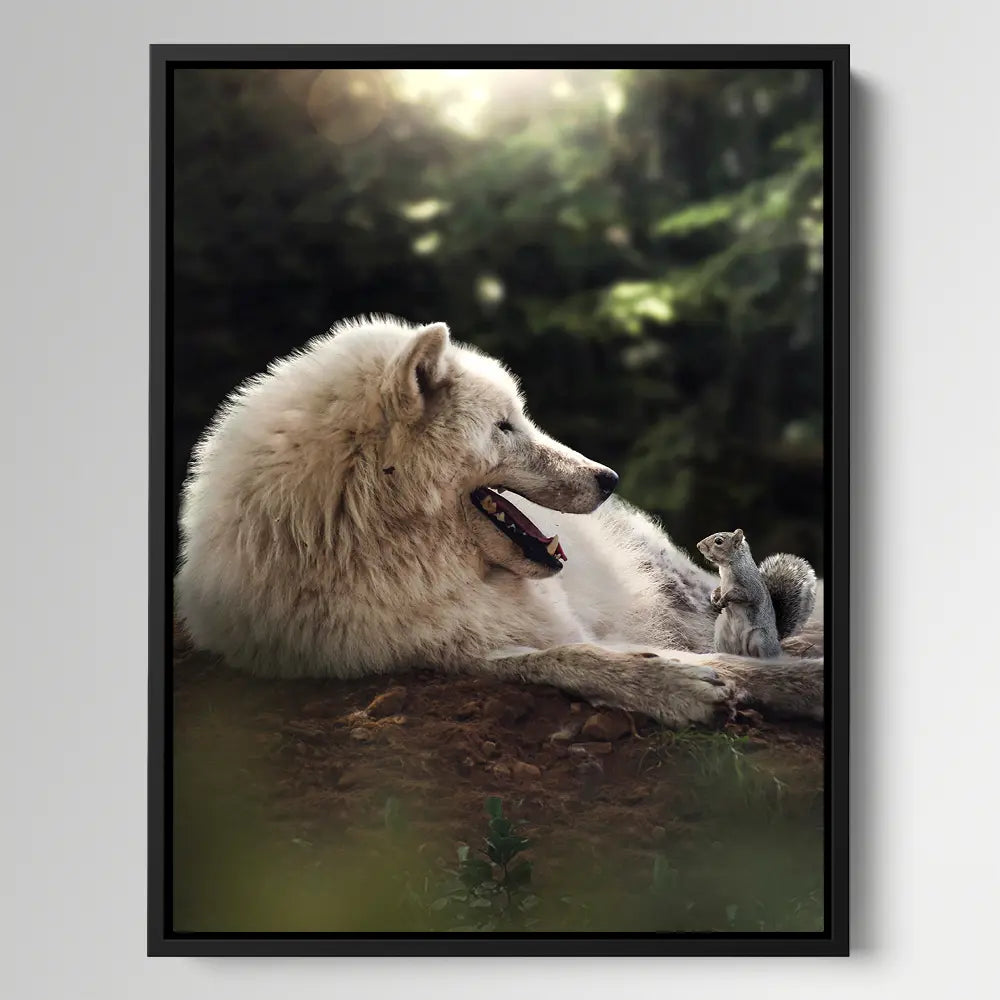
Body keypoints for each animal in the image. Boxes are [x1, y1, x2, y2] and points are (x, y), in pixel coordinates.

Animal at [697, 529, 815, 659]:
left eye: (718, 541)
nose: (698, 546)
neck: (726, 567)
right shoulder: (722, 584)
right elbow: (717, 590)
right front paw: (714, 599)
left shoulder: (750, 587)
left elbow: (741, 595)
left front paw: (723, 599)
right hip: (721, 635)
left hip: (760, 638)